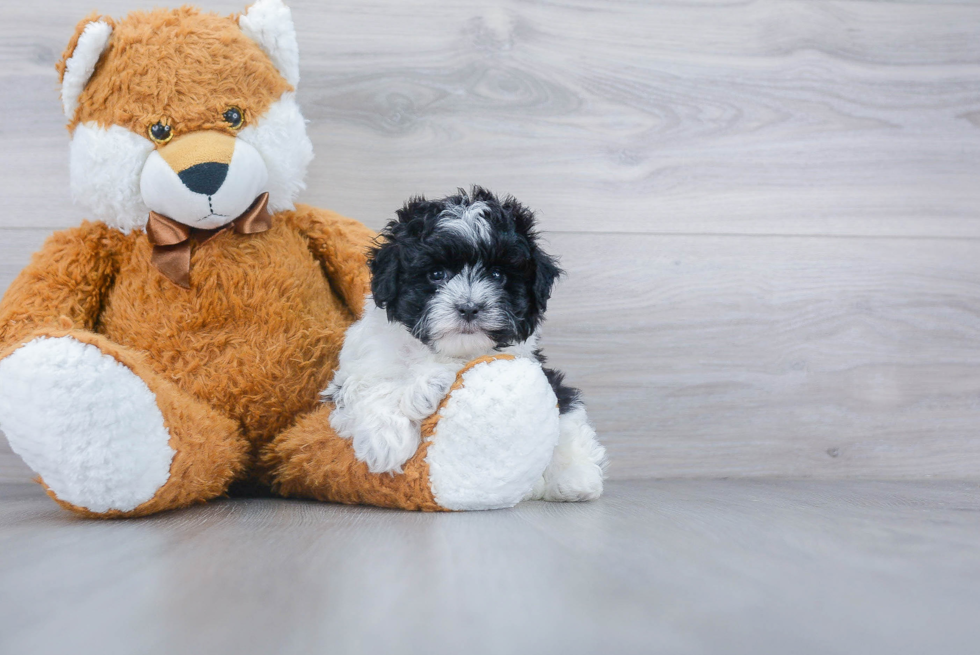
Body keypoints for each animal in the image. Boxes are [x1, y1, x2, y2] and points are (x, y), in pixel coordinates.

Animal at [326, 188, 608, 502]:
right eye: (436, 274)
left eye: (497, 275)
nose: (469, 307)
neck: (454, 350)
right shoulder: (356, 369)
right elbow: (372, 385)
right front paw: (386, 440)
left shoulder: (535, 365)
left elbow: (565, 410)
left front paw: (575, 475)